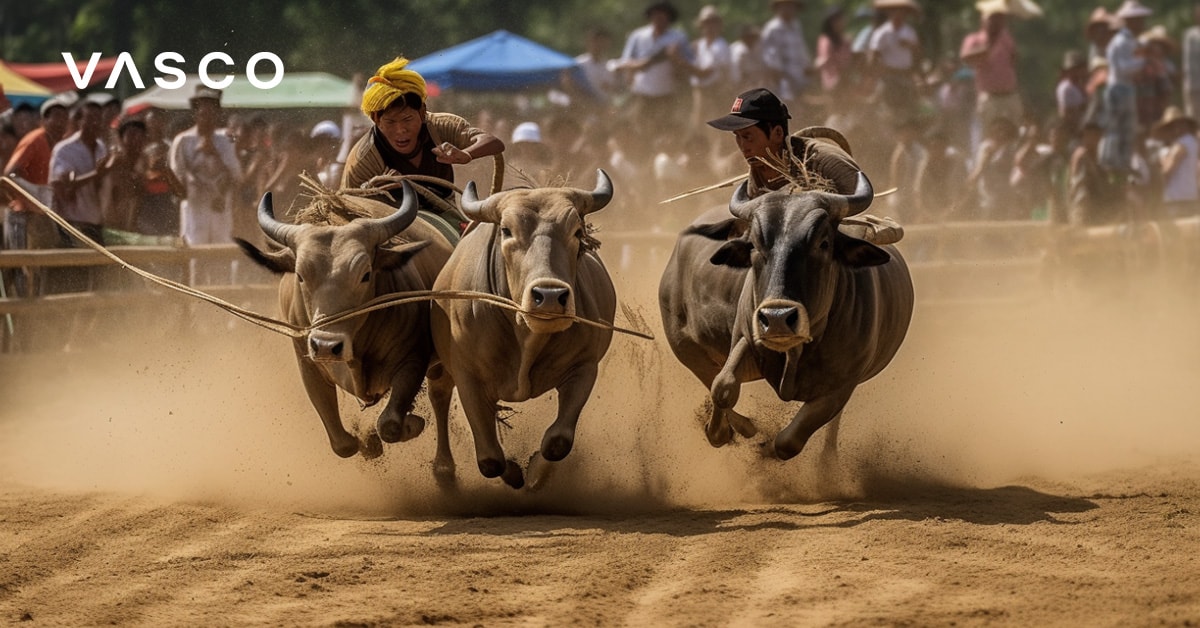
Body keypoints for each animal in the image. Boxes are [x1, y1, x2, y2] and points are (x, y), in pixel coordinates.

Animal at [238, 181, 453, 461]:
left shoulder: (413, 360)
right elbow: (343, 444)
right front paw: (368, 442)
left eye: (365, 274)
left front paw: (410, 423)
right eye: (300, 275)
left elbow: (389, 424)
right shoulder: (309, 367)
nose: (326, 346)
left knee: (440, 396)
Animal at [432, 171, 619, 492]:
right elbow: (490, 459)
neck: (526, 336)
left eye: (577, 232)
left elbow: (558, 441)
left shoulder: (584, 367)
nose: (550, 295)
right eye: (506, 230)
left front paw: (534, 473)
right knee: (439, 396)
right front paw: (514, 472)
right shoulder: (468, 377)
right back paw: (443, 468)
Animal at [662, 171, 912, 461]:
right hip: (686, 348)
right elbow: (723, 386)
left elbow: (788, 442)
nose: (778, 318)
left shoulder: (842, 386)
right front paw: (723, 431)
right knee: (708, 377)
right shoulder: (747, 338)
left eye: (823, 243)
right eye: (754, 245)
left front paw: (765, 448)